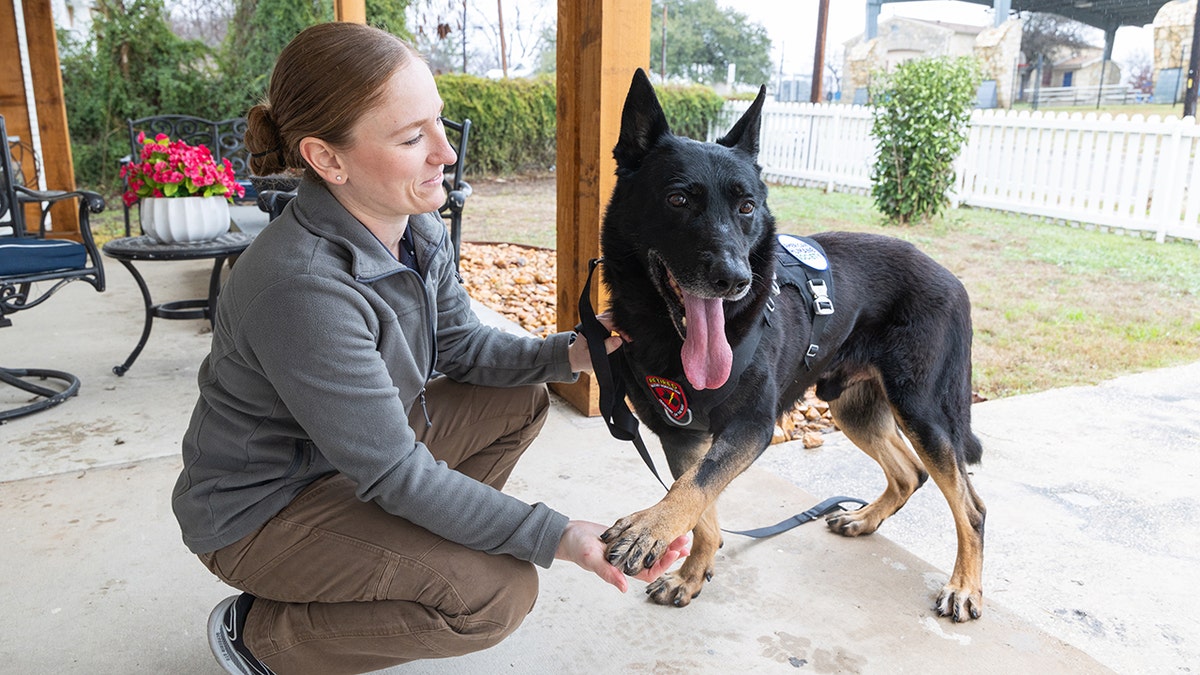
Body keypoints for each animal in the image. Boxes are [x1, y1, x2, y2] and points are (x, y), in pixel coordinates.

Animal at [597, 69, 984, 619]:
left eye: (747, 207)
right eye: (677, 200)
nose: (735, 280)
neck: (669, 334)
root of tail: (953, 278)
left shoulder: (750, 427)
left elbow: (695, 488)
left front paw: (650, 528)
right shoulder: (681, 436)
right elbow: (701, 505)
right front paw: (692, 573)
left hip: (922, 410)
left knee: (971, 507)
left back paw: (965, 587)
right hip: (853, 409)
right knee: (910, 473)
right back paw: (864, 519)